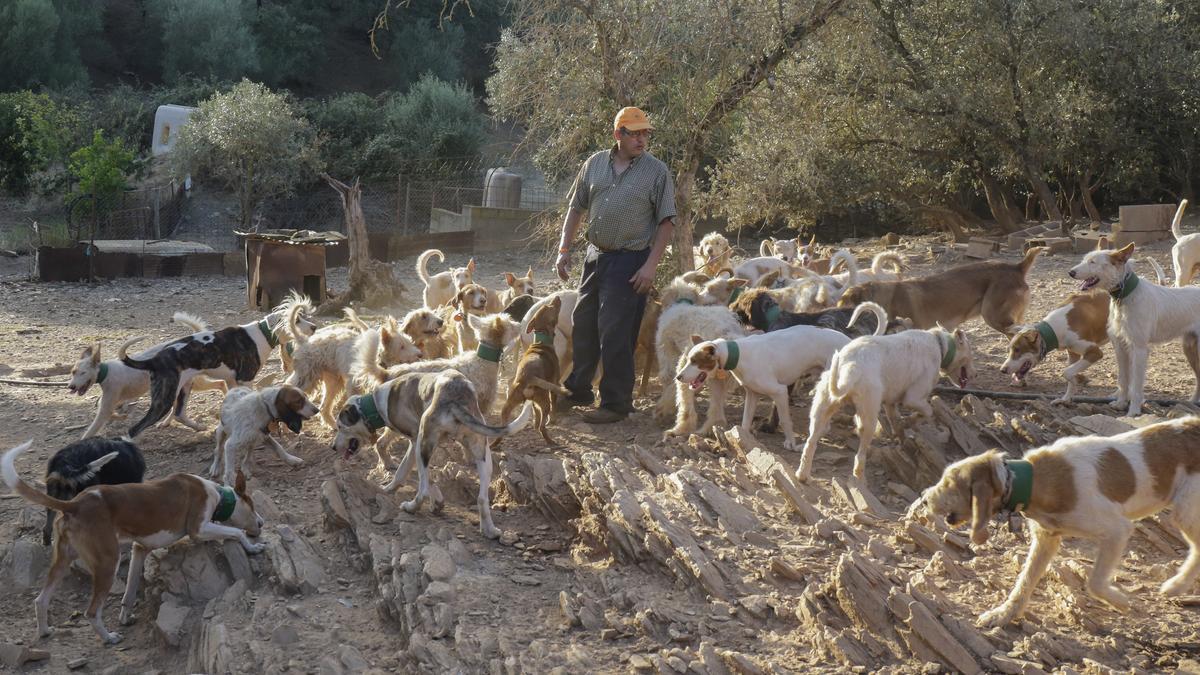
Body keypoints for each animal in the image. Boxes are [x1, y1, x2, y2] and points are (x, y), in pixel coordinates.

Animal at [2, 441, 265, 638]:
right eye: (252, 505)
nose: (262, 524)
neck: (216, 494)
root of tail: (75, 504)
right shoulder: (198, 529)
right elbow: (237, 532)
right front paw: (254, 547)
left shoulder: (140, 549)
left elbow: (129, 592)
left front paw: (125, 617)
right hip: (108, 562)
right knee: (91, 612)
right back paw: (108, 638)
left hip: (62, 561)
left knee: (40, 600)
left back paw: (45, 631)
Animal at [121, 295, 314, 437]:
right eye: (297, 320)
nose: (314, 326)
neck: (262, 334)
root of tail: (154, 360)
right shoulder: (245, 380)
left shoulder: (231, 382)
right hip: (164, 398)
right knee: (134, 429)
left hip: (184, 387)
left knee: (179, 414)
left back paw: (198, 427)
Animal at [499, 295, 568, 444]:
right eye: (550, 307)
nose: (557, 297)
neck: (541, 341)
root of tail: (527, 377)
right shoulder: (554, 384)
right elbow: (553, 406)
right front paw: (553, 420)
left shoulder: (535, 403)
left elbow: (536, 413)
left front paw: (534, 424)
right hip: (545, 402)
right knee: (543, 425)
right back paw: (550, 441)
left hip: (509, 405)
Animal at [796, 302, 974, 480]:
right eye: (969, 353)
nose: (975, 374)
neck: (939, 344)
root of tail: (849, 366)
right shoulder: (914, 398)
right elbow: (927, 412)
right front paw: (910, 421)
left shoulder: (890, 404)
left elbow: (897, 423)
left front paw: (903, 438)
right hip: (869, 416)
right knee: (860, 455)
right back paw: (859, 477)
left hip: (821, 410)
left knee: (810, 444)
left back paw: (802, 475)